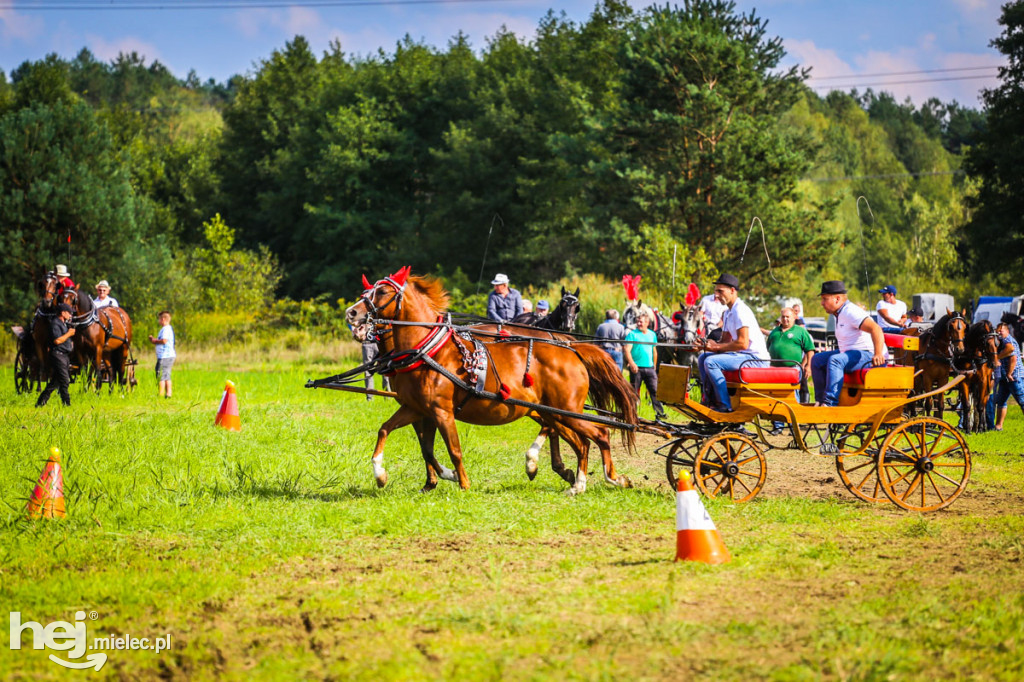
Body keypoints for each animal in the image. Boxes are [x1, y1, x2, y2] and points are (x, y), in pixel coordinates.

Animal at [344, 266, 634, 493]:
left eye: (382, 292)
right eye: (365, 294)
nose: (352, 314)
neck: (427, 350)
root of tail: (571, 349)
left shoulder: (441, 411)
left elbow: (453, 449)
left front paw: (462, 484)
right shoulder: (416, 408)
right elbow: (393, 433)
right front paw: (383, 475)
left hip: (565, 411)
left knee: (599, 434)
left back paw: (605, 479)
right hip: (554, 412)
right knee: (579, 440)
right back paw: (575, 480)